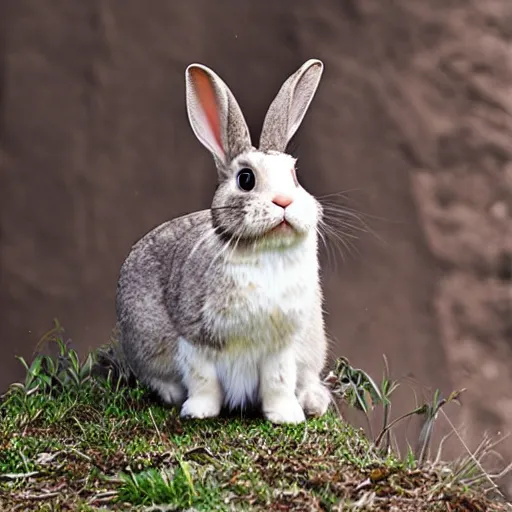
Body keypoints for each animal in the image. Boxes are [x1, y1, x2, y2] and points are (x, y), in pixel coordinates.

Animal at [117, 59, 332, 424]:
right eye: (246, 179)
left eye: (293, 176)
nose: (284, 202)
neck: (263, 252)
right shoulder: (194, 339)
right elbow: (203, 380)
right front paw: (199, 412)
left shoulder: (281, 346)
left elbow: (278, 381)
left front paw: (285, 416)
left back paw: (313, 401)